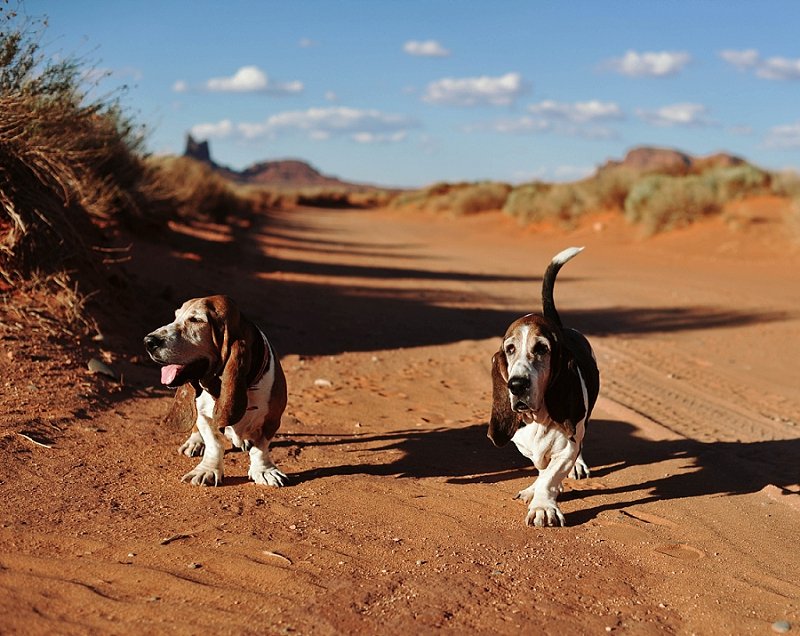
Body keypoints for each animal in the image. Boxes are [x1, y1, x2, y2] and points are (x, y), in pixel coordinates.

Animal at [144, 296, 288, 486]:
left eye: (196, 320)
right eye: (175, 317)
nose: (148, 341)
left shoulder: (272, 419)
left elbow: (260, 448)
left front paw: (264, 471)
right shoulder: (205, 416)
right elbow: (214, 444)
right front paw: (207, 470)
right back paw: (195, 442)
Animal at [488, 247, 600, 528]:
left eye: (541, 349)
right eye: (510, 349)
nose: (516, 385)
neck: (538, 418)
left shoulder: (568, 446)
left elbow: (551, 474)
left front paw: (543, 507)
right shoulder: (526, 447)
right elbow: (542, 470)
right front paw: (537, 492)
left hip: (582, 423)